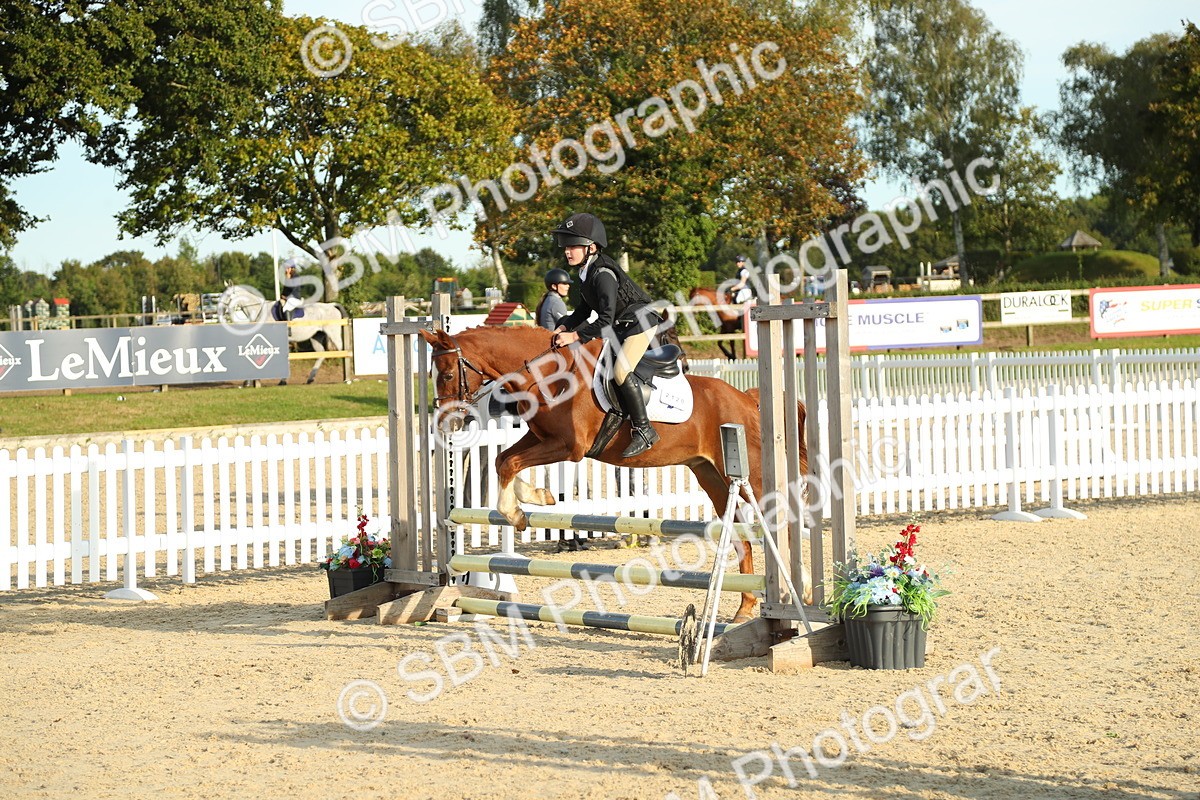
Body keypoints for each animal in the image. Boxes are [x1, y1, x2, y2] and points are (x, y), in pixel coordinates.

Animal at [419, 324, 808, 622]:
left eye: (448, 374)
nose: (446, 424)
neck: (549, 376)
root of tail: (747, 400)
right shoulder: (542, 437)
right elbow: (504, 460)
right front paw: (536, 498)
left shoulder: (569, 447)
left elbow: (510, 463)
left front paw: (516, 513)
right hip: (712, 476)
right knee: (744, 538)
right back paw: (746, 608)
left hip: (750, 477)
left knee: (781, 523)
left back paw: (795, 595)